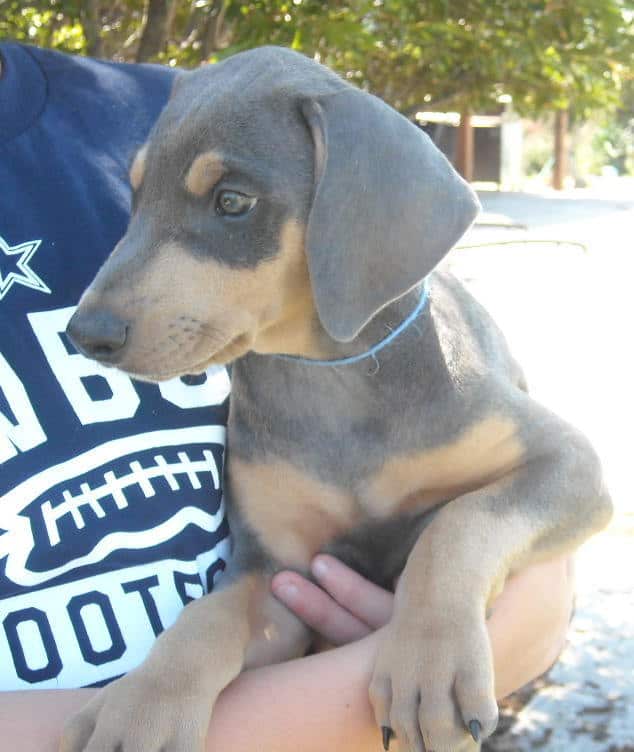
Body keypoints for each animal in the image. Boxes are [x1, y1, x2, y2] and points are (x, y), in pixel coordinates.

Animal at [63, 45, 608, 752]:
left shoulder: (568, 462)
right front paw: (138, 705)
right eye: (135, 195)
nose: (86, 334)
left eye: (232, 200)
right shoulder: (277, 572)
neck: (333, 375)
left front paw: (430, 663)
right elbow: (204, 619)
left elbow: (459, 523)